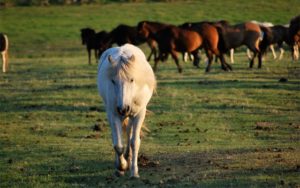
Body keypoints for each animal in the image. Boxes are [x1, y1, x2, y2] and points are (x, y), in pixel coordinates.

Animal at [96, 43, 157, 178]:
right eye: (113, 81)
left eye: (132, 79)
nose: (123, 108)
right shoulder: (114, 114)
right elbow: (118, 145)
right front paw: (121, 166)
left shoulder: (139, 114)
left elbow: (135, 142)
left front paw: (134, 171)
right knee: (116, 136)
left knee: (129, 131)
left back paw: (128, 156)